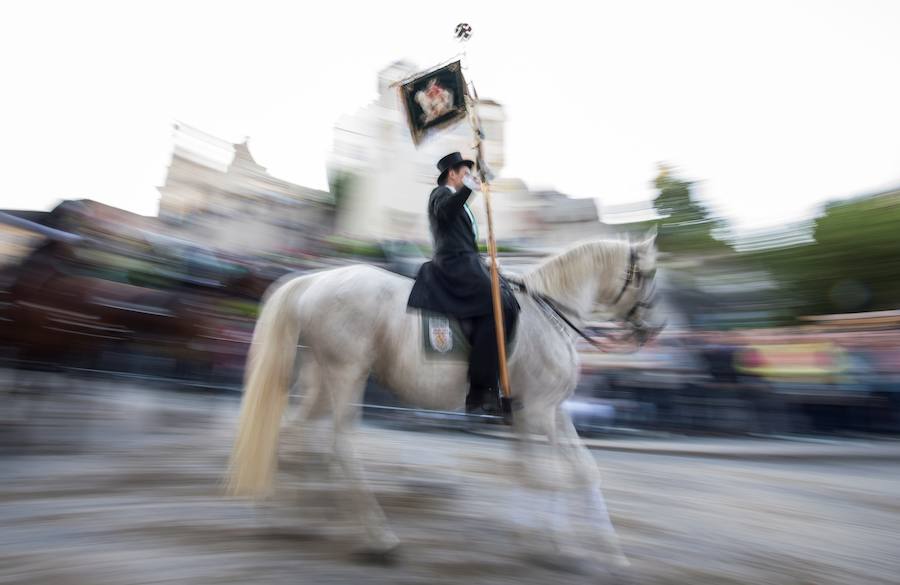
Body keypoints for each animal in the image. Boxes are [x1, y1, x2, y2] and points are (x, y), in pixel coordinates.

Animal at [225, 234, 660, 564]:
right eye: (649, 274)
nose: (654, 329)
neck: (549, 314)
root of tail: (315, 282)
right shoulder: (538, 412)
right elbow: (550, 477)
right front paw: (558, 546)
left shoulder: (544, 412)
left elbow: (571, 471)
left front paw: (607, 551)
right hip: (346, 375)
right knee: (339, 448)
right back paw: (378, 538)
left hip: (320, 378)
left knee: (294, 434)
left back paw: (290, 517)